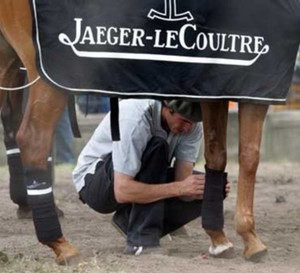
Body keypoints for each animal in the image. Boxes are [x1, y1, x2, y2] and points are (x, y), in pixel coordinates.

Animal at [0, 0, 296, 264]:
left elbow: (217, 155)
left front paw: (218, 236)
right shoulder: (249, 82)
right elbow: (247, 156)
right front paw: (248, 238)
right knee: (33, 140)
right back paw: (61, 245)